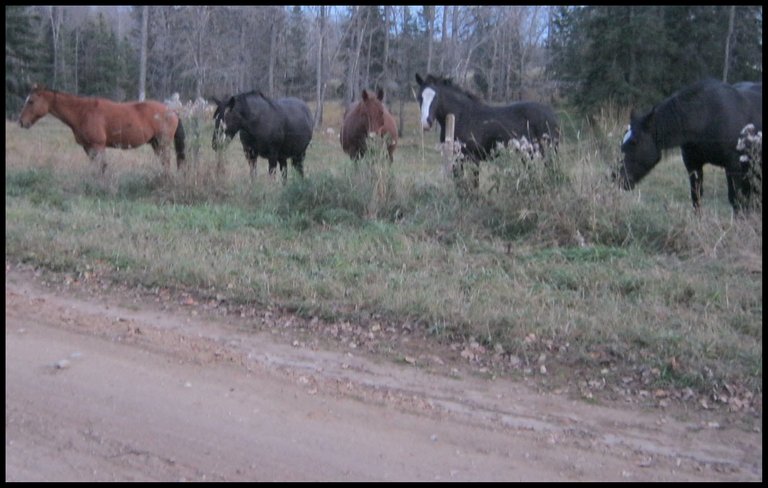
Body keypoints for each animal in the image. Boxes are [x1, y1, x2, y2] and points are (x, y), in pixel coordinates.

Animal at [17, 83, 185, 173]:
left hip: (162, 143)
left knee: (166, 162)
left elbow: (102, 167)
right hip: (155, 144)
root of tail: (172, 111)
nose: (21, 122)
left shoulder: (98, 146)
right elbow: (96, 167)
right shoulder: (88, 147)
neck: (82, 112)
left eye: (31, 101)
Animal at [416, 73, 560, 188]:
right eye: (419, 97)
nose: (426, 122)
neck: (463, 116)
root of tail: (552, 114)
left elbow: (474, 183)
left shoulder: (473, 159)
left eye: (436, 97)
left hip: (548, 153)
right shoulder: (457, 159)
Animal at [616, 78, 760, 212]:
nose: (617, 177)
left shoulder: (733, 165)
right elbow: (696, 198)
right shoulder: (692, 163)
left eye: (634, 142)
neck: (707, 116)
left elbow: (737, 200)